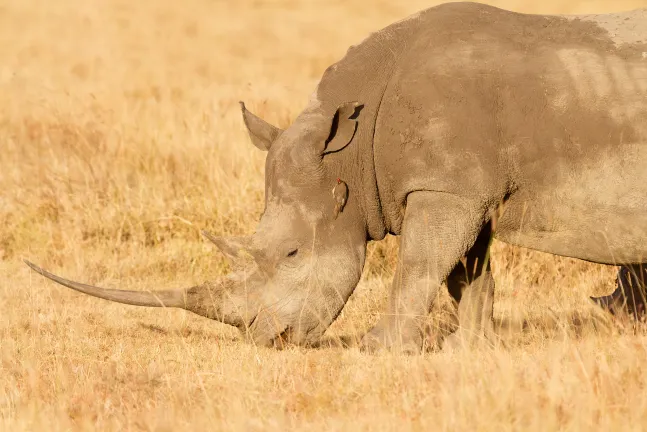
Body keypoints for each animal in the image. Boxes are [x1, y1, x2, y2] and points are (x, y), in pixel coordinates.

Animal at [25, 3, 647, 352]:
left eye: (293, 253)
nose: (268, 340)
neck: (348, 147)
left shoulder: (444, 189)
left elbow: (418, 265)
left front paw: (380, 349)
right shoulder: (457, 187)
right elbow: (465, 273)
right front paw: (472, 350)